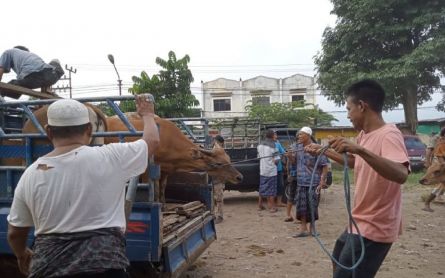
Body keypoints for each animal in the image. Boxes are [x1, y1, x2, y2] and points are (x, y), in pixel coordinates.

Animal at [105, 112, 243, 203]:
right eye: (219, 163)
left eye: (229, 159)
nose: (239, 177)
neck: (167, 141)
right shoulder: (146, 171)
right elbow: (152, 190)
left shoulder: (166, 171)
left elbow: (162, 188)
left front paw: (163, 205)